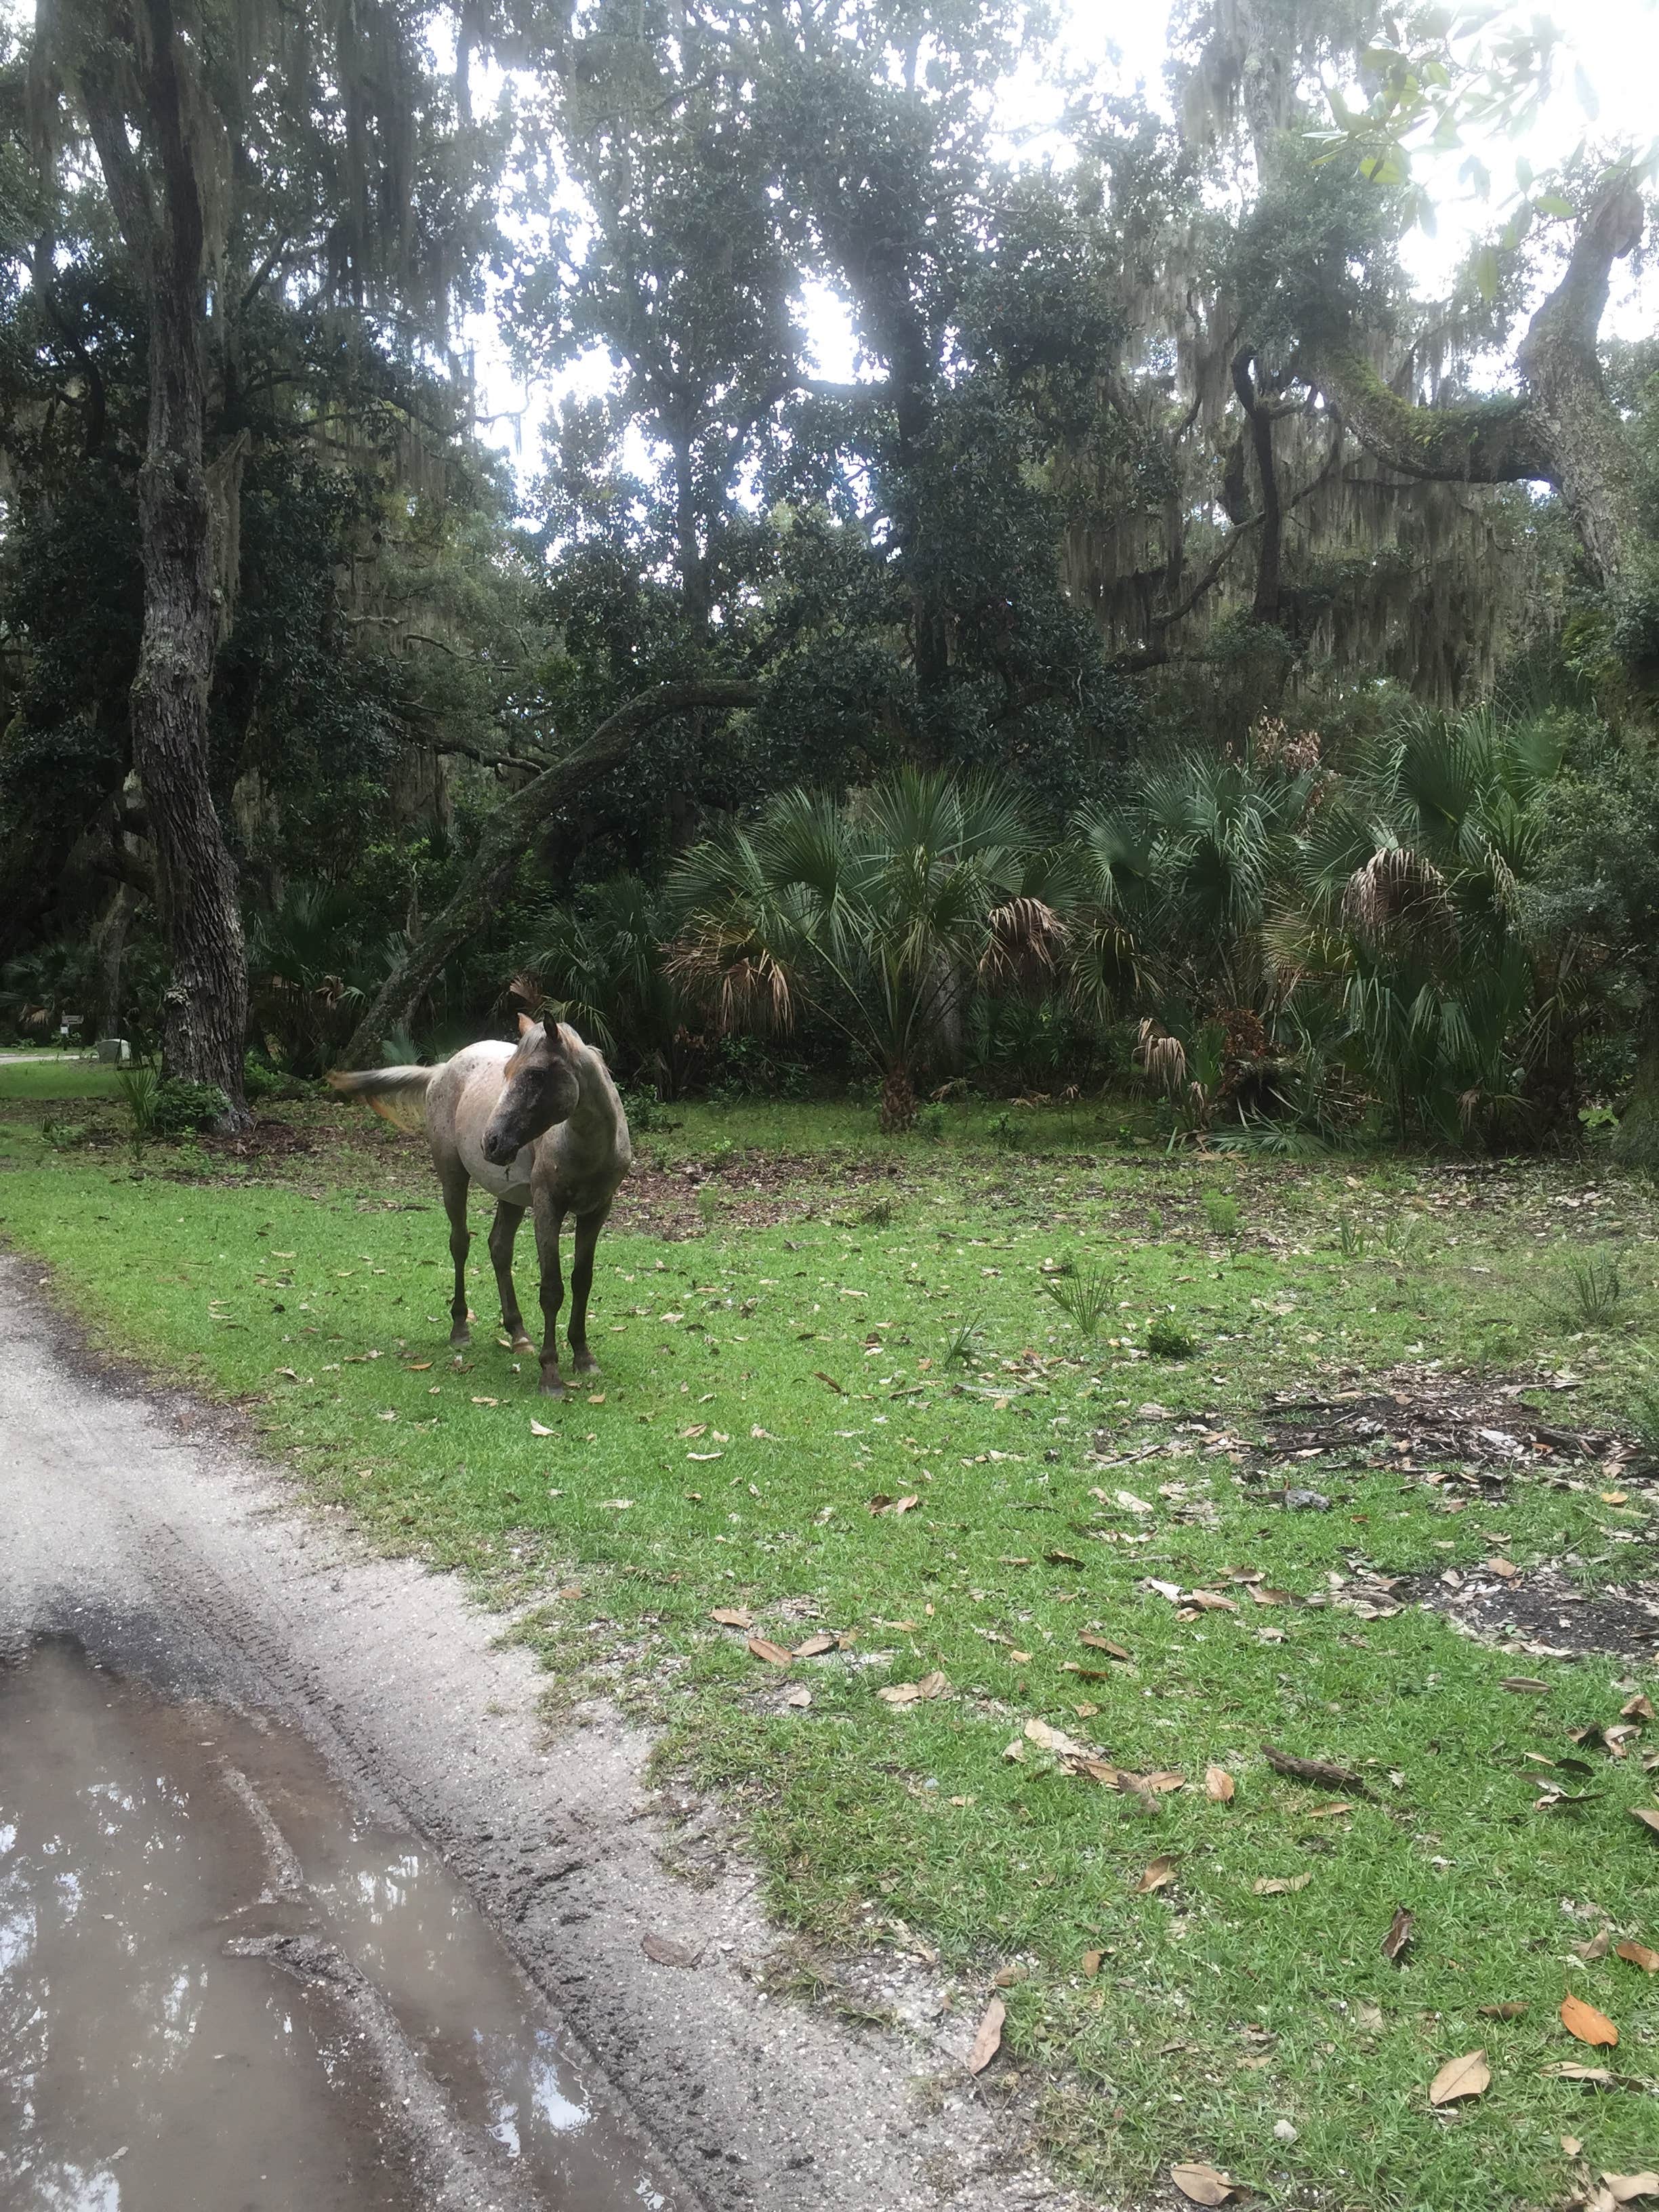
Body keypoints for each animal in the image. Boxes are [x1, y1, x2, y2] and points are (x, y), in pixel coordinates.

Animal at [327, 1012, 632, 1389]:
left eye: (535, 1074)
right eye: (508, 1073)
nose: (492, 1141)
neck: (586, 1147)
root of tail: (441, 1069)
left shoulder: (596, 1211)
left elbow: (582, 1281)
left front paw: (583, 1356)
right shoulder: (548, 1209)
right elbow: (551, 1289)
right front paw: (551, 1374)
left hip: (511, 1196)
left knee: (499, 1248)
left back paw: (518, 1334)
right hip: (453, 1178)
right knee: (460, 1244)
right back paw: (460, 1328)